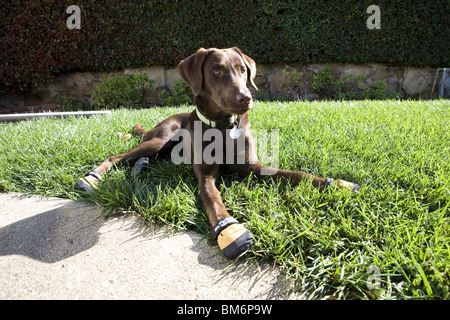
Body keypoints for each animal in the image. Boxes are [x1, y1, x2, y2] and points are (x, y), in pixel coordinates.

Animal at [76, 47, 358, 258]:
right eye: (216, 70)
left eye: (243, 70)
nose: (246, 97)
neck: (223, 128)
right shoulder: (206, 176)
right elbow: (214, 201)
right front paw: (230, 231)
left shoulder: (252, 167)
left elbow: (295, 174)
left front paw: (334, 183)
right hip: (160, 138)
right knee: (117, 157)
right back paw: (93, 177)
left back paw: (141, 165)